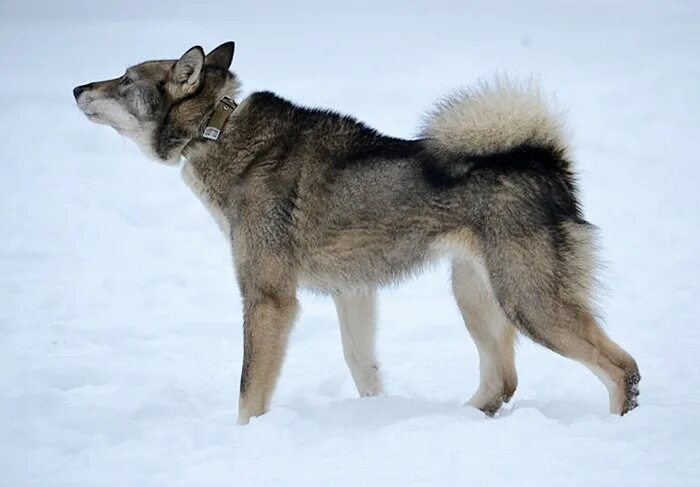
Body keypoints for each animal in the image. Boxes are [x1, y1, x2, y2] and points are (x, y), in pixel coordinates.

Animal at [75, 41, 640, 424]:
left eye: (124, 79)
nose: (78, 87)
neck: (217, 130)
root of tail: (547, 162)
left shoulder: (268, 298)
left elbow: (249, 390)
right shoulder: (353, 292)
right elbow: (361, 365)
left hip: (529, 302)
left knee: (622, 367)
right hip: (475, 295)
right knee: (503, 379)